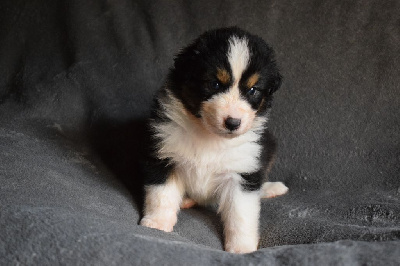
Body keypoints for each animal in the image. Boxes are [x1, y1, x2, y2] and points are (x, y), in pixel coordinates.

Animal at [141, 27, 288, 254]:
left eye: (252, 90)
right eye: (214, 84)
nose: (233, 122)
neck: (209, 137)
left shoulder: (242, 171)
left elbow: (241, 215)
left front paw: (242, 248)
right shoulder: (164, 155)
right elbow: (161, 195)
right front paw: (157, 223)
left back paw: (271, 188)